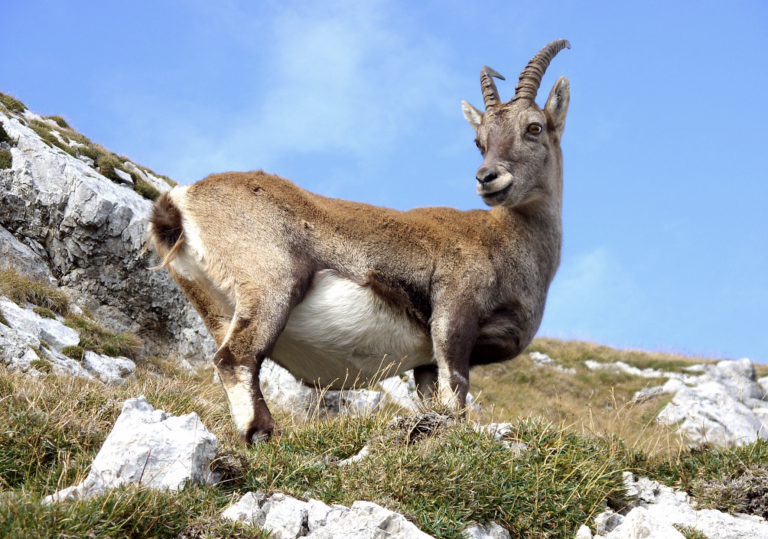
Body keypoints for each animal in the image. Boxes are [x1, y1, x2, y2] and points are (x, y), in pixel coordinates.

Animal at [148, 40, 571, 443]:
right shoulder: (454, 313)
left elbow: (434, 399)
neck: (509, 242)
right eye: (479, 140)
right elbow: (456, 392)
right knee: (235, 358)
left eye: (534, 128)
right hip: (272, 281)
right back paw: (264, 434)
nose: (488, 178)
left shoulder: (426, 361)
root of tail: (181, 200)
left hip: (214, 306)